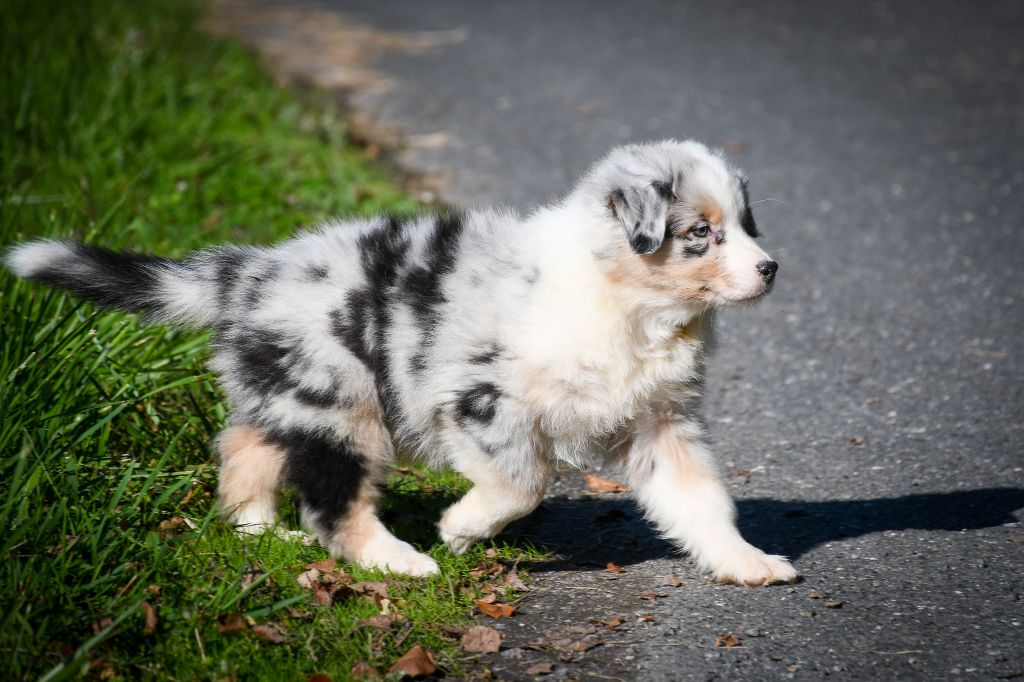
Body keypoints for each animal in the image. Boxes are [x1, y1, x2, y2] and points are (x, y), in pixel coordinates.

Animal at [6, 139, 796, 585]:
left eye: (746, 225)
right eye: (700, 233)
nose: (770, 269)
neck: (627, 300)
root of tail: (250, 271)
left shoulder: (661, 422)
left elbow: (701, 500)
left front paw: (747, 563)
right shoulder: (482, 400)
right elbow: (523, 481)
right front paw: (462, 529)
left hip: (286, 392)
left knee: (243, 448)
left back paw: (260, 531)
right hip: (343, 405)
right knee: (332, 504)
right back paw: (400, 560)